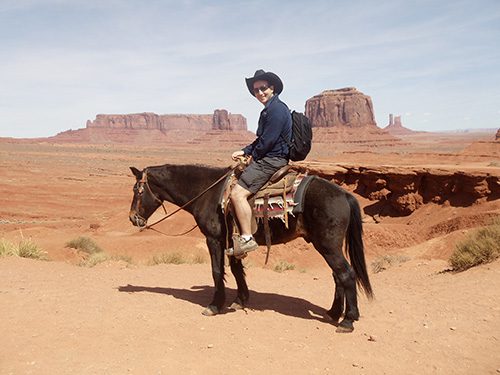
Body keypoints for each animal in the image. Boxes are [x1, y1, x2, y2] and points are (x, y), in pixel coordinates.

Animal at [129, 164, 372, 332]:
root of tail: (344, 194)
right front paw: (240, 300)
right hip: (325, 245)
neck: (207, 192)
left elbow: (217, 271)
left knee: (346, 274)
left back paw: (348, 320)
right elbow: (236, 269)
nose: (132, 218)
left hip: (328, 245)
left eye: (138, 191)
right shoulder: (232, 240)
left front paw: (215, 306)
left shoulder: (214, 239)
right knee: (337, 276)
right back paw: (333, 312)